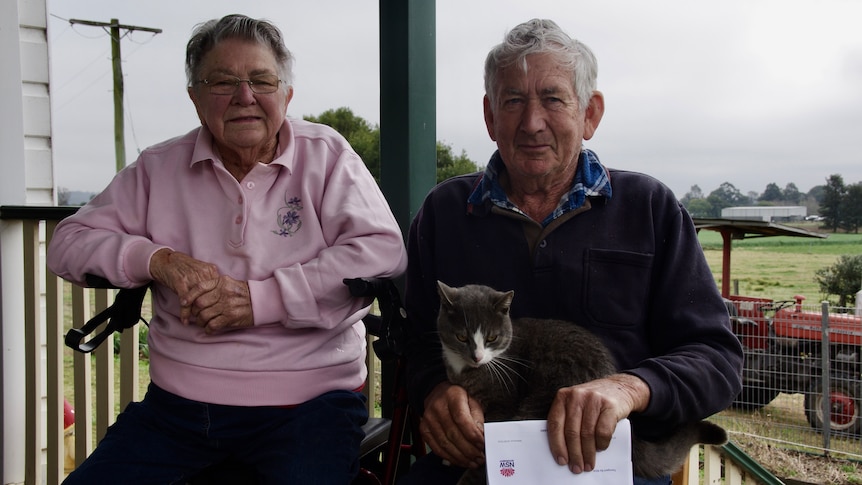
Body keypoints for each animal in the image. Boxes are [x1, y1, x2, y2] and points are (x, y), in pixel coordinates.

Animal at [438, 280, 728, 484]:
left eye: (492, 337)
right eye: (462, 337)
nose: (476, 356)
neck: (466, 369)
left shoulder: (504, 403)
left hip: (540, 399)